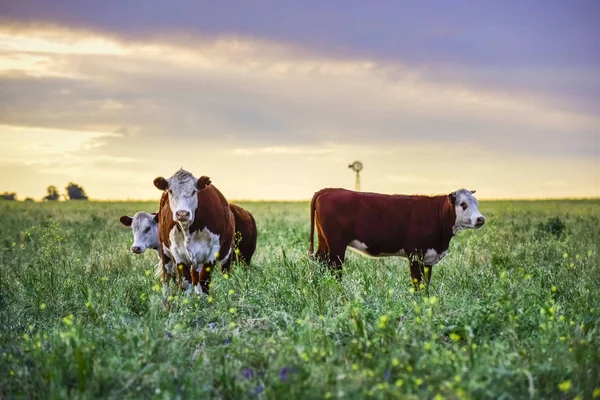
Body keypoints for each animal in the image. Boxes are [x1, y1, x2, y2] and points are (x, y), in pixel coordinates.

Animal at [308, 188, 486, 286]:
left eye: (477, 203)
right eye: (463, 204)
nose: (480, 219)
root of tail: (328, 190)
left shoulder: (428, 257)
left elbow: (426, 283)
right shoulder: (415, 254)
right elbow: (418, 282)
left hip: (324, 242)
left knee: (319, 261)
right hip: (336, 245)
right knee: (334, 269)